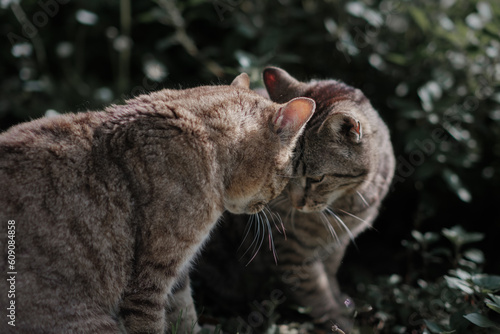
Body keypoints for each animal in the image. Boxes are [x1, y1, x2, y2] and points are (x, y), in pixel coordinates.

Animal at [0, 73, 314, 334]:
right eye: (285, 176)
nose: (267, 205)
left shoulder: (178, 277)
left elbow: (185, 316)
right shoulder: (149, 280)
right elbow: (152, 323)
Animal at [191, 67, 394, 332]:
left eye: (316, 178)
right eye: (283, 174)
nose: (297, 204)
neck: (345, 205)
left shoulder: (335, 246)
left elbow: (330, 278)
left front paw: (343, 305)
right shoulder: (292, 250)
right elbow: (316, 292)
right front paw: (340, 323)